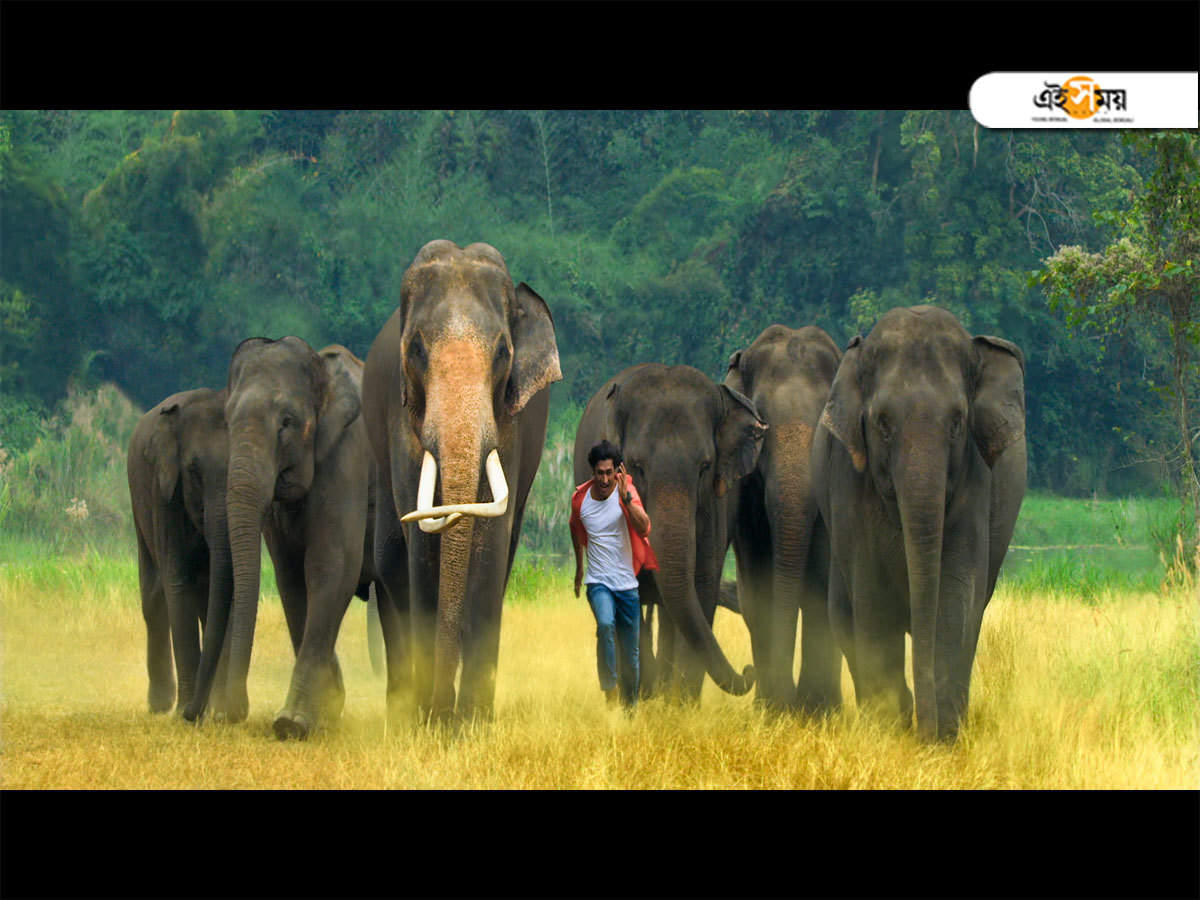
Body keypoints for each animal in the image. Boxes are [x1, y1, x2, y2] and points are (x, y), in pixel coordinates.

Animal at [127, 388, 232, 720]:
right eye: (194, 473)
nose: (192, 713)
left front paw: (216, 710)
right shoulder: (164, 494)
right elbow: (178, 585)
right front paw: (185, 711)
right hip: (138, 502)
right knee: (153, 598)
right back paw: (160, 706)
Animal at [184, 338, 396, 739]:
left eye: (287, 422)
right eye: (227, 420)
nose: (223, 715)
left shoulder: (348, 460)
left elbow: (330, 569)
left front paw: (290, 724)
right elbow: (290, 579)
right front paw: (325, 711)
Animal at [360, 241, 561, 734]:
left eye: (503, 352)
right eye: (416, 348)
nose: (441, 712)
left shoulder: (512, 421)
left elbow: (490, 546)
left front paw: (471, 723)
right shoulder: (400, 419)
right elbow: (419, 544)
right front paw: (428, 721)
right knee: (390, 565)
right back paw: (402, 712)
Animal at [720, 328, 844, 715]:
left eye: (826, 422)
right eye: (760, 428)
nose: (785, 700)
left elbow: (821, 577)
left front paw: (815, 712)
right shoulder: (743, 489)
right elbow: (758, 579)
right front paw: (773, 711)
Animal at [811, 307, 1027, 744]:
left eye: (958, 422)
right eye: (882, 423)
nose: (924, 735)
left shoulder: (975, 483)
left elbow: (955, 598)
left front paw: (941, 740)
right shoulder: (849, 482)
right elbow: (872, 600)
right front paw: (890, 732)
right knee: (843, 614)